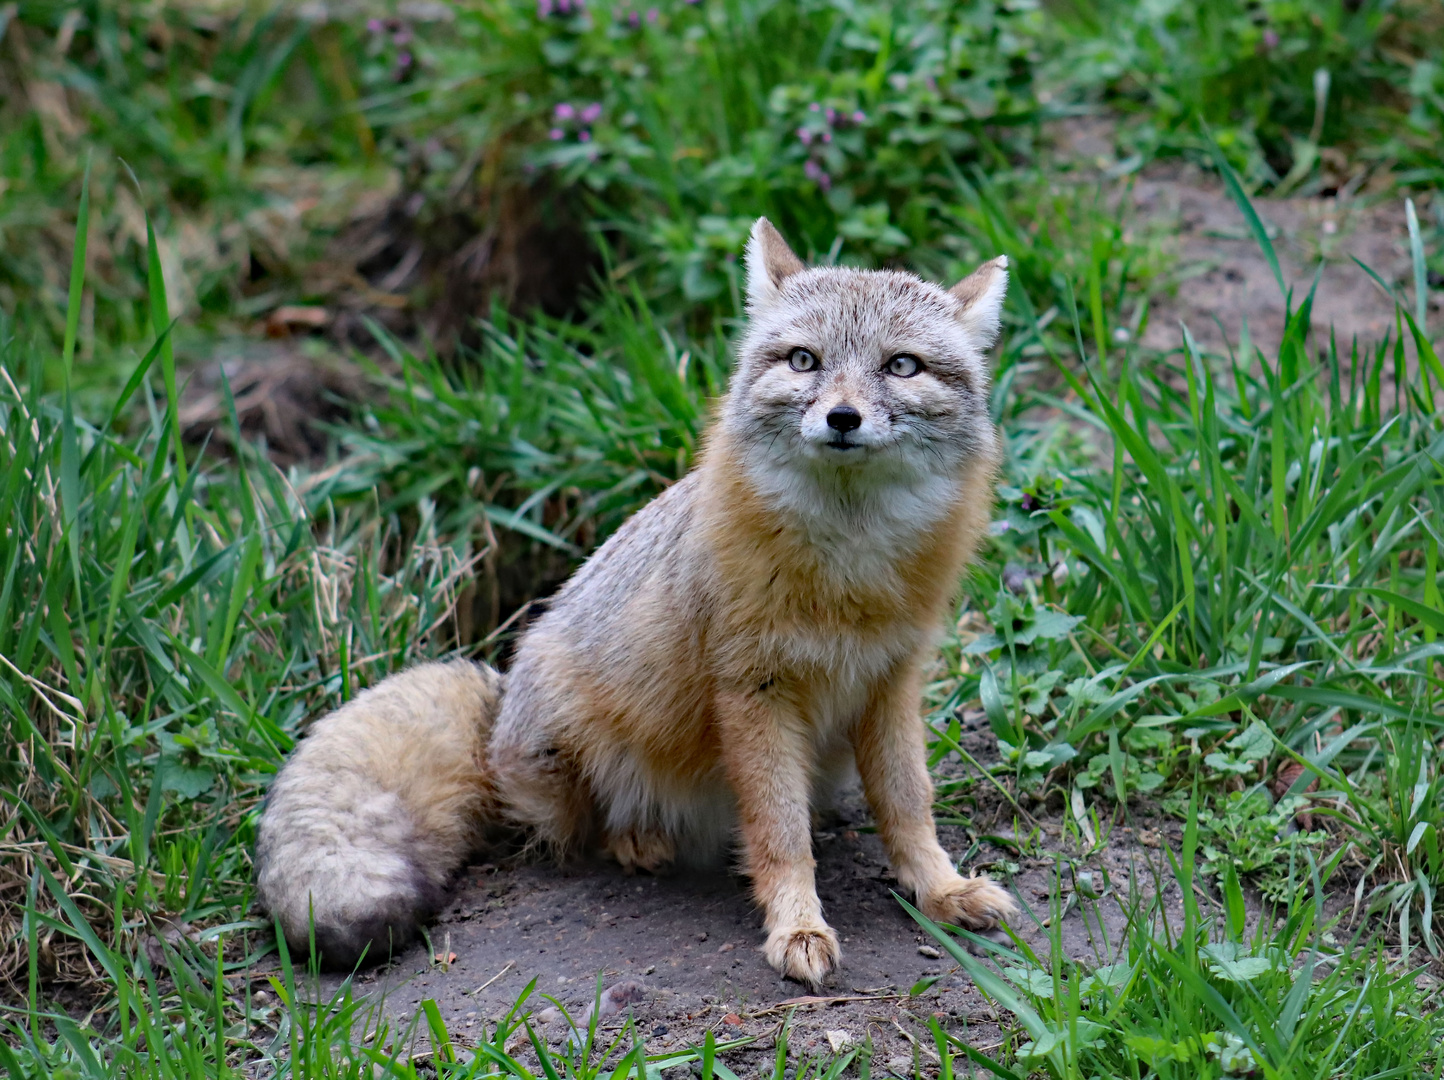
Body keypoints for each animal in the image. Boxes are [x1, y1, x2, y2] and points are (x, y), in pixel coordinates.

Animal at [254, 219, 1016, 987]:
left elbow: (909, 803)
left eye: (902, 367)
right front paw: (797, 926)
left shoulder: (890, 680)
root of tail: (500, 708)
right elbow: (778, 832)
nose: (842, 416)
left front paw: (941, 889)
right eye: (805, 360)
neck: (847, 575)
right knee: (583, 832)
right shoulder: (754, 691)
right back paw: (639, 840)